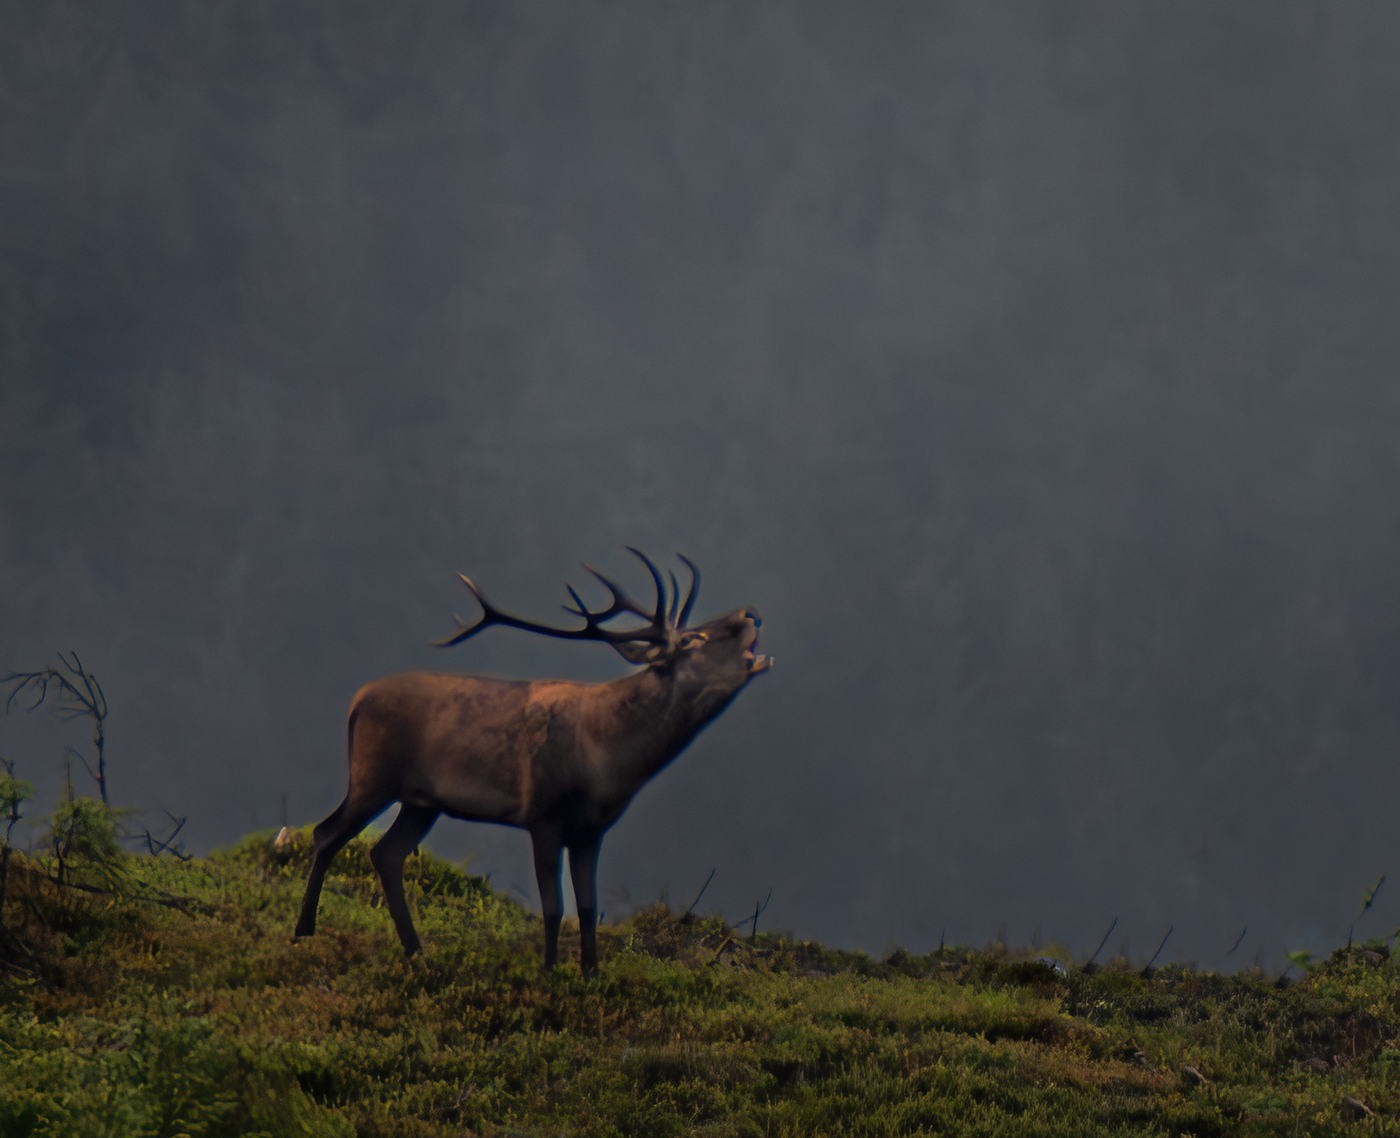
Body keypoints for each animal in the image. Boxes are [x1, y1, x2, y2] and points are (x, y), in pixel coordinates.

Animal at [294, 549, 771, 976]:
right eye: (693, 639)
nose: (752, 614)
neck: (610, 766)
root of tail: (356, 702)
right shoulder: (543, 814)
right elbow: (553, 906)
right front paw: (549, 972)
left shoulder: (591, 830)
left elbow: (588, 906)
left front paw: (591, 974)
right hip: (372, 777)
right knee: (327, 833)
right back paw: (304, 932)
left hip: (421, 801)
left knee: (385, 853)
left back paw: (416, 951)